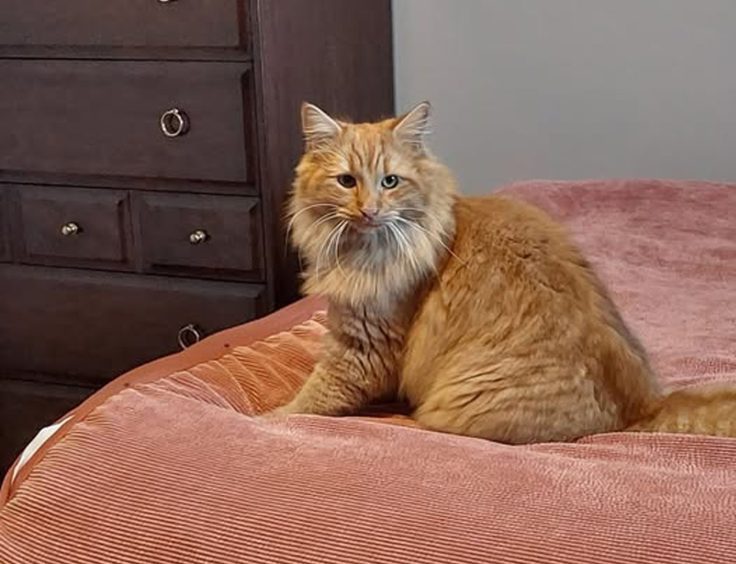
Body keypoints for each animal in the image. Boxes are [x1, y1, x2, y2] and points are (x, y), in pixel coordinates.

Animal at [274, 101, 736, 442]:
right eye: (346, 182)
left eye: (390, 181)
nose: (369, 211)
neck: (364, 248)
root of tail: (642, 404)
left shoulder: (364, 345)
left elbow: (311, 399)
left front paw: (273, 416)